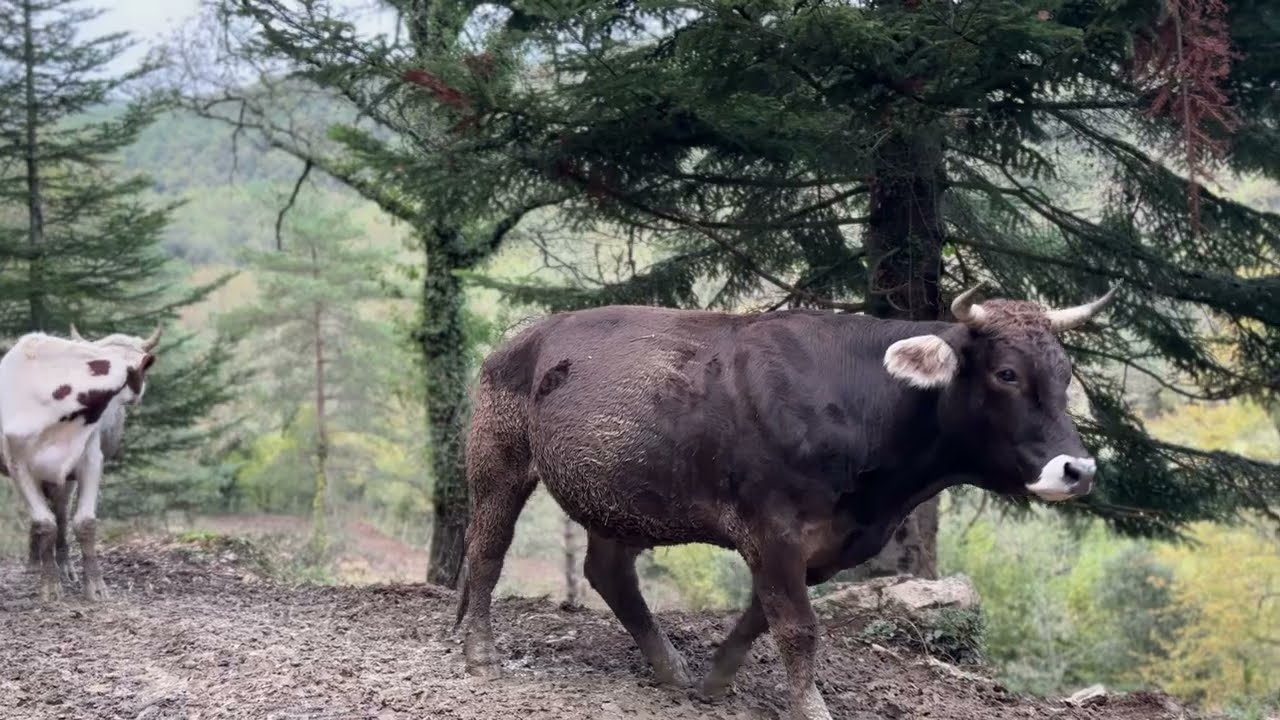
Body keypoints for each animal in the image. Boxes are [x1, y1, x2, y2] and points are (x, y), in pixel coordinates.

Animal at [0, 324, 161, 601]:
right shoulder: (18, 465)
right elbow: (44, 522)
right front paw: (49, 585)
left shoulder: (89, 461)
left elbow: (83, 522)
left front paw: (95, 586)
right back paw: (37, 564)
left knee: (61, 513)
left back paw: (62, 565)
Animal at [453, 285, 1117, 720]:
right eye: (1007, 374)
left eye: (1065, 373)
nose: (1078, 470)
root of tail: (527, 335)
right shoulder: (773, 527)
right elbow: (797, 627)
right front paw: (810, 707)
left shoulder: (823, 543)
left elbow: (761, 615)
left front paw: (717, 680)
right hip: (498, 457)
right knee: (487, 548)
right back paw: (481, 654)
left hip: (621, 492)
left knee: (609, 572)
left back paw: (669, 667)